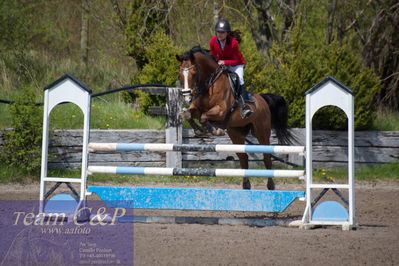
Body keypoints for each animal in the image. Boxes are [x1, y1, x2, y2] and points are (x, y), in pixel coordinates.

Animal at [177, 46, 296, 191]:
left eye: (194, 73)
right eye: (180, 75)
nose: (187, 98)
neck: (209, 84)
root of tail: (263, 100)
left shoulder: (221, 111)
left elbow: (204, 117)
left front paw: (214, 130)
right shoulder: (197, 108)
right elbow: (189, 115)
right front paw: (200, 130)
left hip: (261, 132)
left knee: (266, 157)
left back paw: (271, 185)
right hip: (236, 133)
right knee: (243, 157)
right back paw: (246, 185)